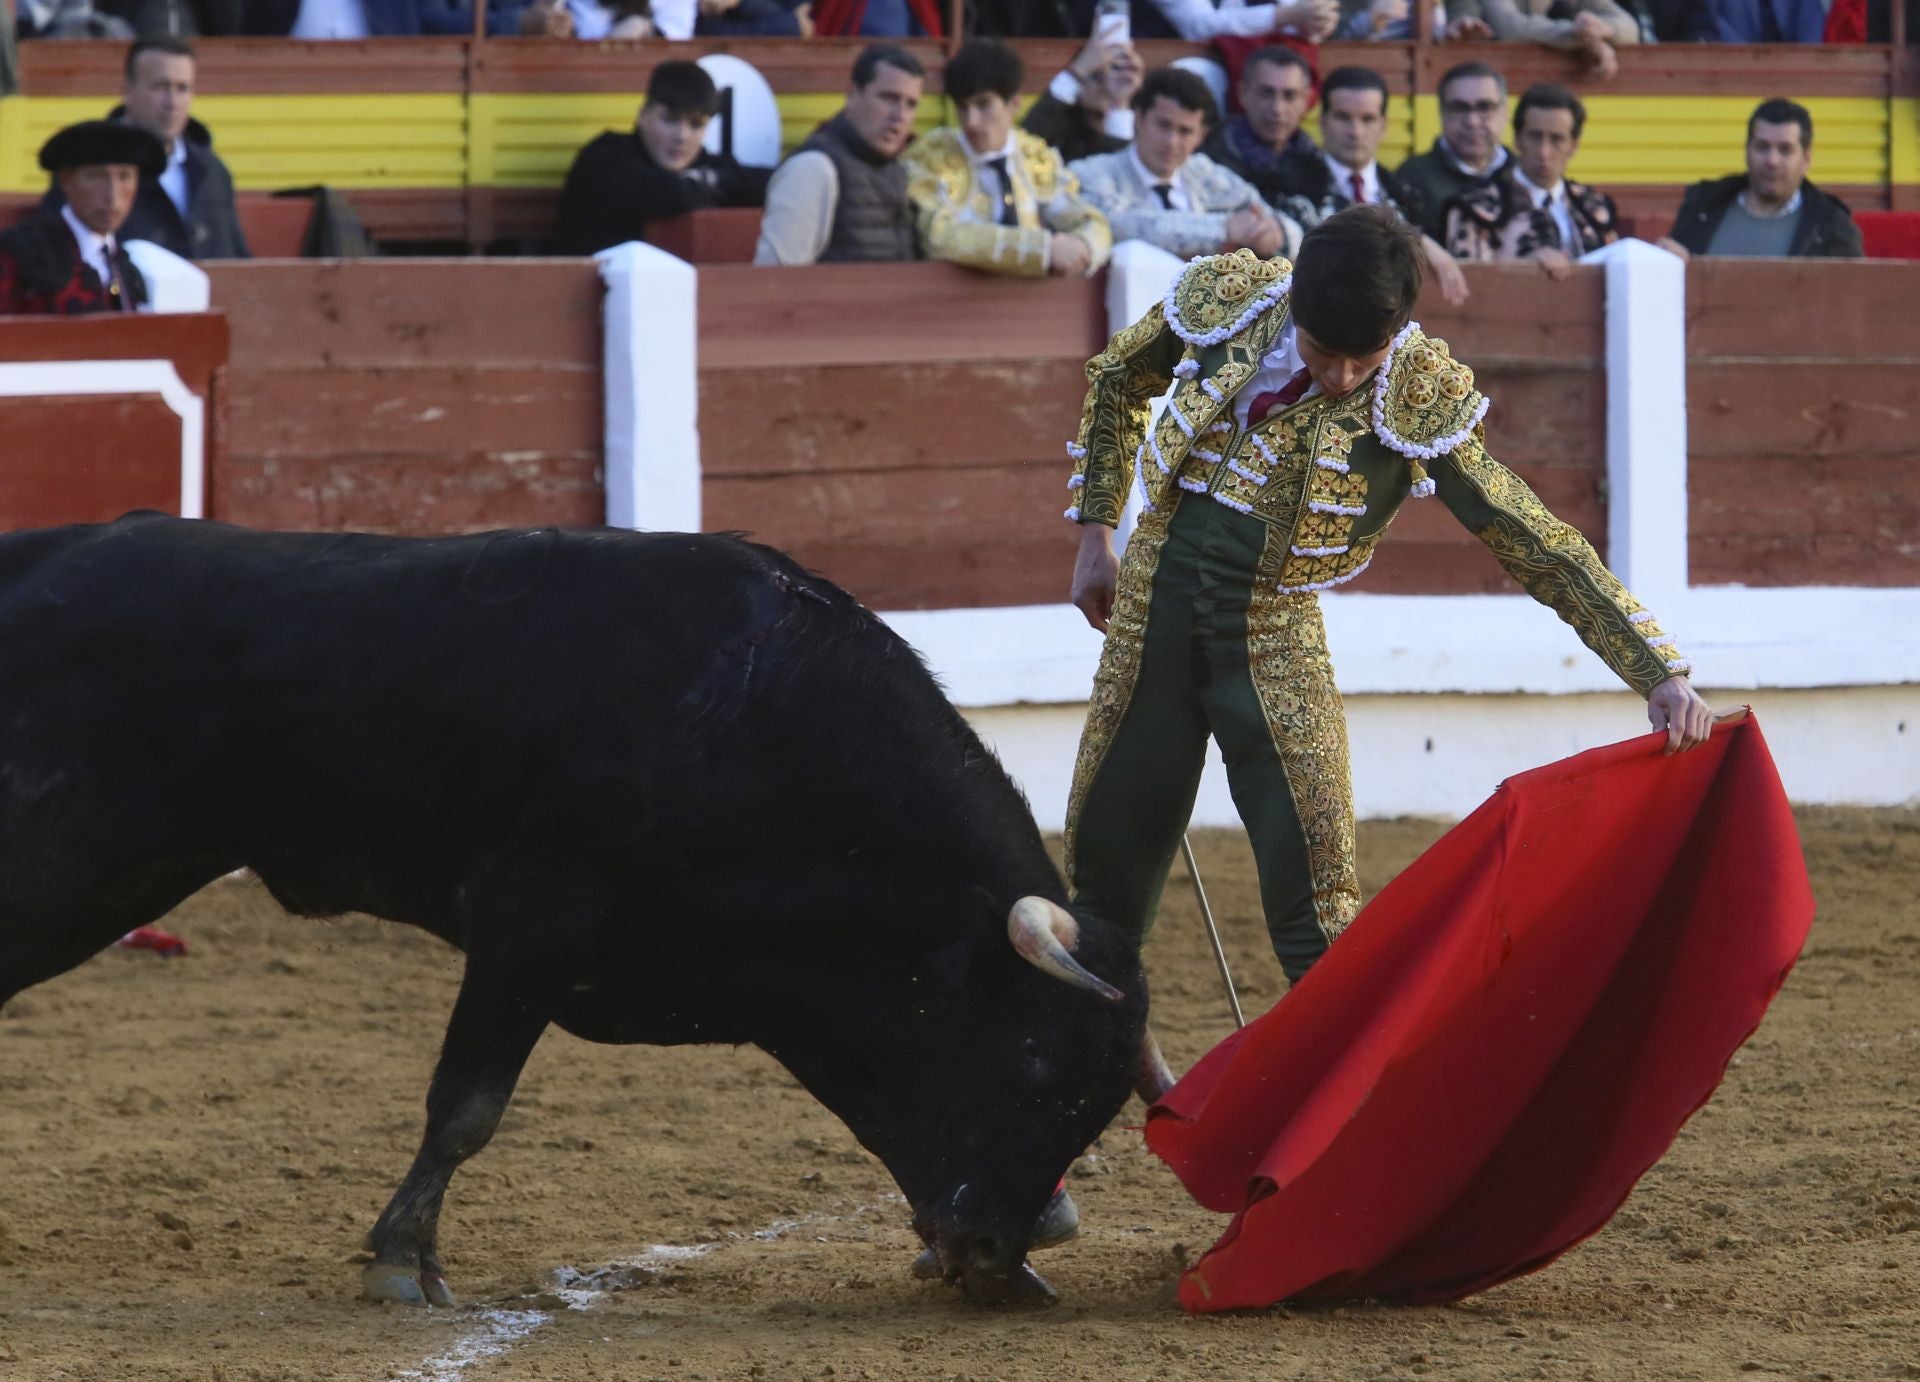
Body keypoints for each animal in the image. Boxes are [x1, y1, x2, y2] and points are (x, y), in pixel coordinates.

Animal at [0, 514, 1144, 1305]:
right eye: (1033, 1060)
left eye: (1098, 1100)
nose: (992, 1250)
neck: (750, 718)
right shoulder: (529, 926)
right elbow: (466, 1105)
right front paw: (404, 1262)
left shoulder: (808, 994)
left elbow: (883, 1115)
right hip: (66, 861)